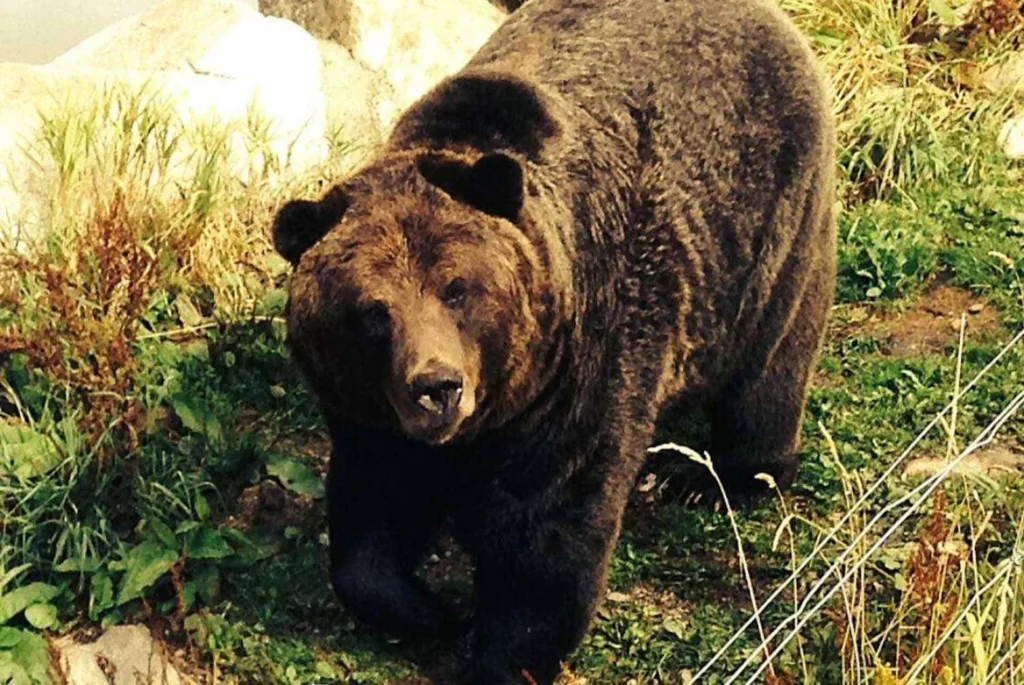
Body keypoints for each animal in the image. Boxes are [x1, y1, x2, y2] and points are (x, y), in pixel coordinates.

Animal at [270, 0, 836, 682]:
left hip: (774, 227)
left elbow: (547, 528)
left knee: (769, 367)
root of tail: (773, 18)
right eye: (373, 312)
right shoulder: (369, 412)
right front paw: (431, 609)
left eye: (457, 288)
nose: (437, 387)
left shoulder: (581, 364)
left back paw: (715, 476)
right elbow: (372, 511)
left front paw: (498, 653)